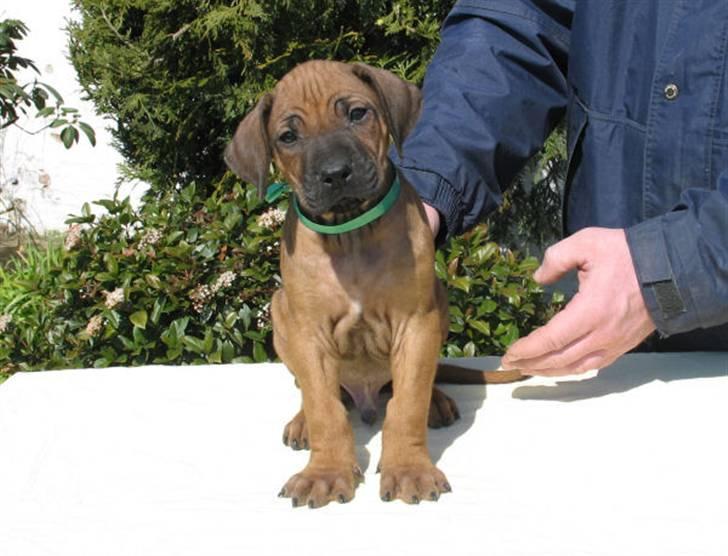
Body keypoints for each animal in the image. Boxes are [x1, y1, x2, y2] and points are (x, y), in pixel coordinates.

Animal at [225, 60, 520, 508]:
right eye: (288, 137)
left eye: (357, 114)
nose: (335, 174)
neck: (351, 233)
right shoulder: (309, 334)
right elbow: (324, 407)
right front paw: (325, 472)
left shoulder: (416, 323)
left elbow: (407, 402)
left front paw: (409, 469)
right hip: (280, 311)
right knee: (315, 391)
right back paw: (302, 422)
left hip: (439, 302)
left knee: (418, 382)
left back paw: (436, 402)